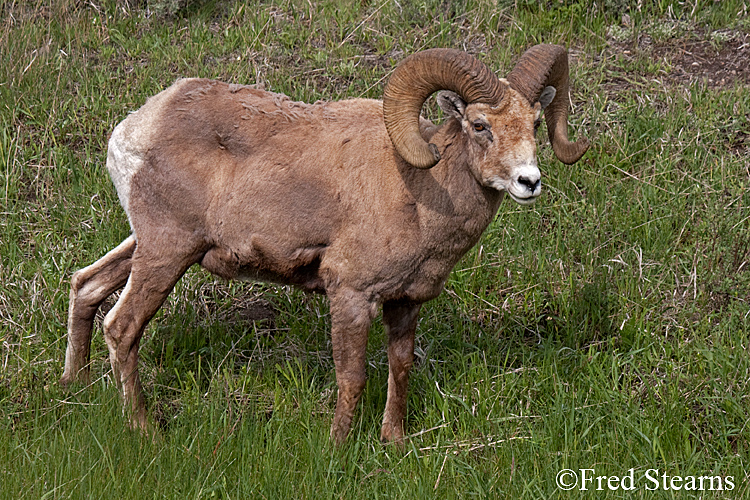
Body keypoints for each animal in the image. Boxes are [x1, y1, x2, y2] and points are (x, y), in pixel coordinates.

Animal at [61, 45, 592, 446]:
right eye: (480, 125)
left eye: (534, 121)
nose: (529, 181)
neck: (421, 193)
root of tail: (134, 130)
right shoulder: (351, 295)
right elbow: (352, 376)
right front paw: (337, 446)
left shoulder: (405, 302)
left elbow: (401, 368)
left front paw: (394, 442)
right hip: (166, 252)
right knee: (122, 326)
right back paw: (146, 429)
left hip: (148, 246)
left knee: (86, 285)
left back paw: (74, 387)